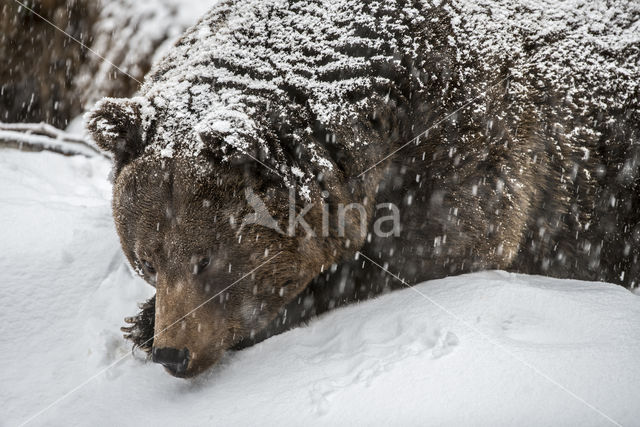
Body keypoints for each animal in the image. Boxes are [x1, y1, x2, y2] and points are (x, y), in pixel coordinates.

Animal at [87, 0, 636, 378]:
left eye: (207, 259)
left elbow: (431, 250)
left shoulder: (474, 151)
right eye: (147, 261)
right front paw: (143, 322)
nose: (173, 353)